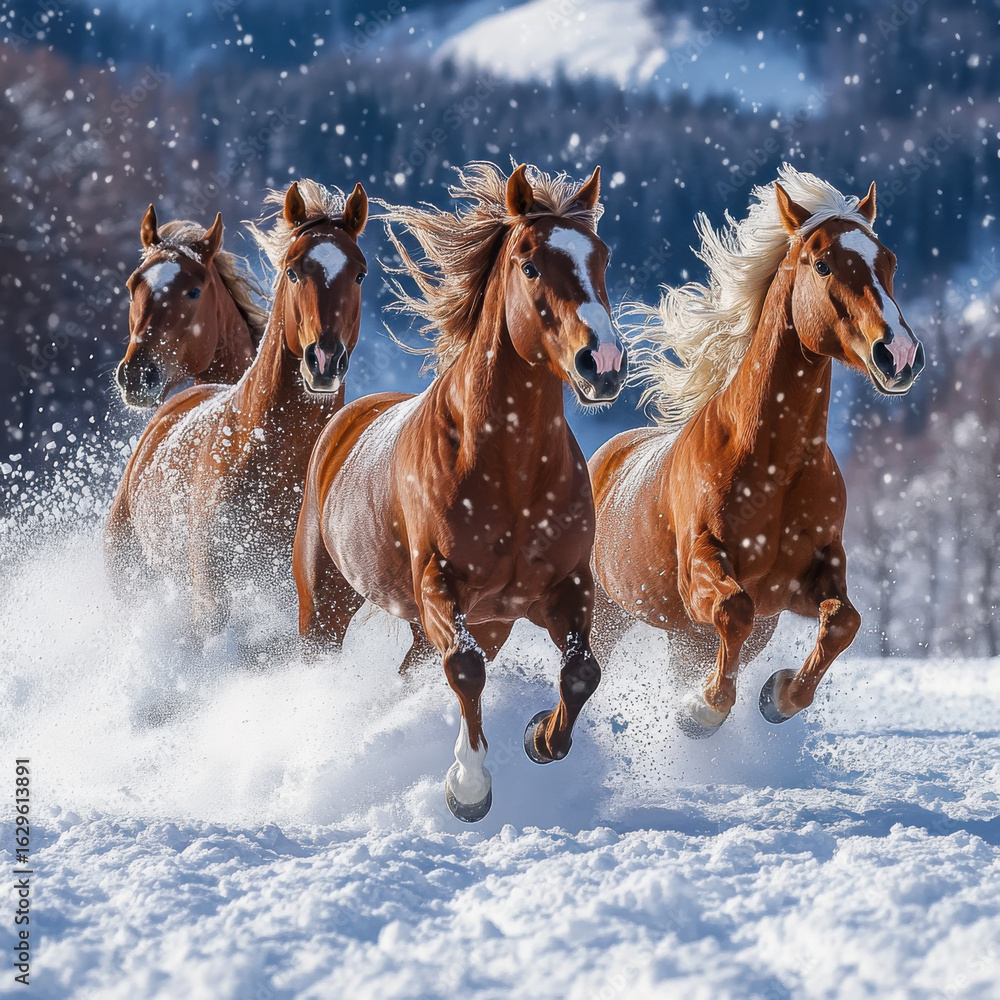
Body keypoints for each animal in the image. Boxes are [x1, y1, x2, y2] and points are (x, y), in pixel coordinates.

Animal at [292, 162, 627, 822]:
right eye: (529, 264)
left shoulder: (562, 586)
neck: (513, 471)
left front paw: (541, 736)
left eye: (601, 256)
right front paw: (468, 787)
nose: (601, 363)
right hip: (327, 605)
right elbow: (465, 670)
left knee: (416, 670)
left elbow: (582, 671)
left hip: (475, 623)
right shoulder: (439, 584)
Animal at [589, 165, 924, 737]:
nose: (898, 354)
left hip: (689, 634)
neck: (775, 464)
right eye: (822, 263)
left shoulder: (807, 576)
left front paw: (779, 696)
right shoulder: (700, 571)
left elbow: (844, 620)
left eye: (890, 260)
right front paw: (700, 710)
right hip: (605, 612)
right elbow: (733, 608)